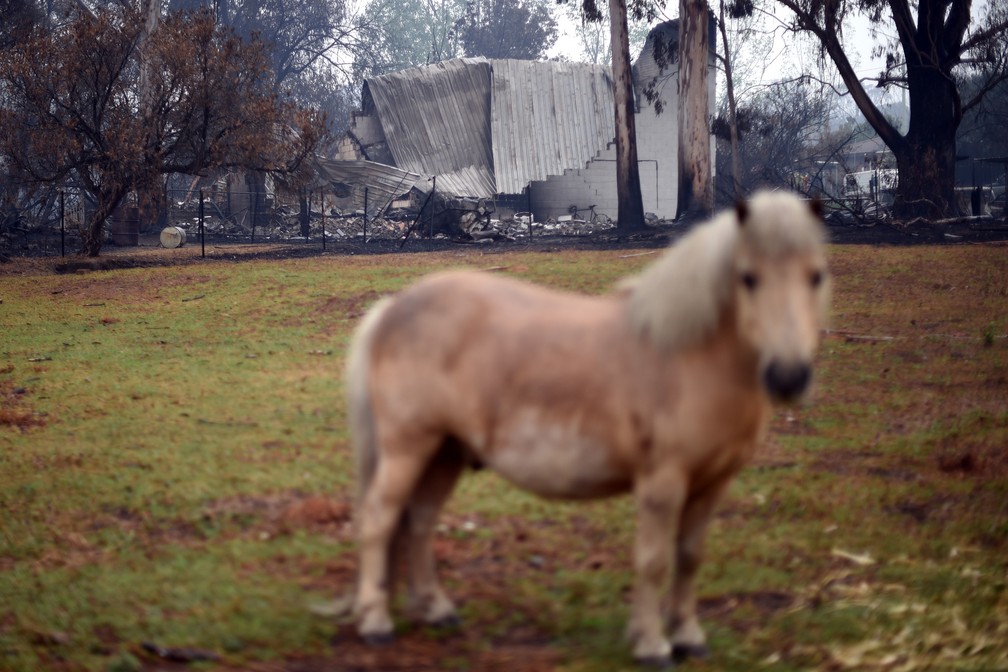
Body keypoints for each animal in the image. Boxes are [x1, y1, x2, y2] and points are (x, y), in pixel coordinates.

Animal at [344, 190, 830, 665]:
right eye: (748, 278)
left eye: (817, 276)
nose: (788, 377)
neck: (689, 357)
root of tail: (393, 307)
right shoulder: (662, 483)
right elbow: (654, 560)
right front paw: (652, 645)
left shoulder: (714, 483)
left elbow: (690, 557)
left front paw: (688, 637)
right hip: (408, 447)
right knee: (380, 518)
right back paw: (376, 624)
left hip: (445, 451)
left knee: (419, 521)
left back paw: (435, 609)